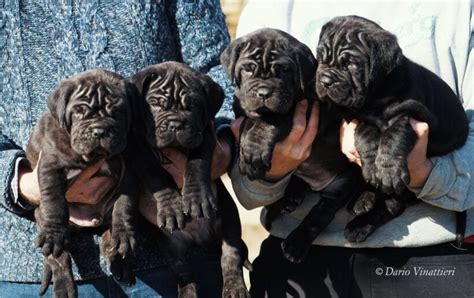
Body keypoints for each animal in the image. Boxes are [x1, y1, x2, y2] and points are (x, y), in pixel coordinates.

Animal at [26, 69, 140, 296]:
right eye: (79, 111)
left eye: (118, 112)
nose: (99, 131)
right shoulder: (50, 165)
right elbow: (54, 200)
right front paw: (54, 233)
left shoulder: (130, 165)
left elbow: (125, 202)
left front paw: (124, 231)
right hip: (41, 217)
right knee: (59, 256)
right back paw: (63, 286)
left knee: (109, 239)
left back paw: (120, 261)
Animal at [128, 61, 250, 296]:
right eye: (155, 104)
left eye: (193, 104)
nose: (176, 124)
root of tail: (200, 237)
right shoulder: (138, 149)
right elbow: (157, 175)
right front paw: (171, 207)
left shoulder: (204, 134)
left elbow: (196, 164)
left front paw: (196, 199)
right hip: (171, 247)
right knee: (184, 273)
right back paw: (188, 294)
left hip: (229, 220)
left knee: (230, 257)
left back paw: (234, 288)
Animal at [220, 29, 364, 264]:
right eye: (248, 68)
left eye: (285, 71)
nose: (263, 93)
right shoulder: (243, 109)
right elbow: (246, 126)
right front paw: (247, 153)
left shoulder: (302, 108)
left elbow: (270, 121)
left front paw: (254, 149)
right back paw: (291, 196)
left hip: (341, 182)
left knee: (321, 213)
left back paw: (295, 245)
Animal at [316, 15, 468, 242]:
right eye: (320, 57)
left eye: (352, 64)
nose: (325, 80)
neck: (375, 96)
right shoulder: (356, 116)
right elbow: (365, 133)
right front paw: (372, 165)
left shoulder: (409, 113)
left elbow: (392, 137)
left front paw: (387, 170)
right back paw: (362, 199)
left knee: (392, 204)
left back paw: (360, 223)